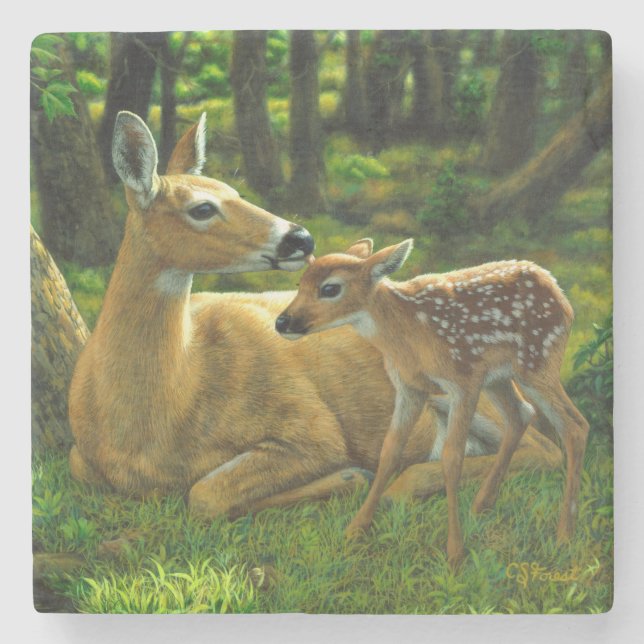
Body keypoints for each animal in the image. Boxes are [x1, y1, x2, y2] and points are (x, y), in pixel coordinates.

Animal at [68, 112, 562, 524]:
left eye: (236, 191)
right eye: (203, 208)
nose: (301, 238)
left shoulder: (310, 426)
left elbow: (205, 494)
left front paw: (348, 477)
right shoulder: (81, 457)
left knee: (541, 446)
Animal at [276, 238, 588, 566]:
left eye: (330, 288)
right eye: (300, 283)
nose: (282, 322)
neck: (407, 336)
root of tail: (557, 289)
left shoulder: (462, 381)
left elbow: (452, 457)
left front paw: (454, 553)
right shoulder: (409, 387)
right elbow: (390, 450)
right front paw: (355, 529)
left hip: (538, 361)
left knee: (575, 425)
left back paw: (564, 534)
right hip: (498, 377)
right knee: (521, 414)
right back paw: (481, 505)